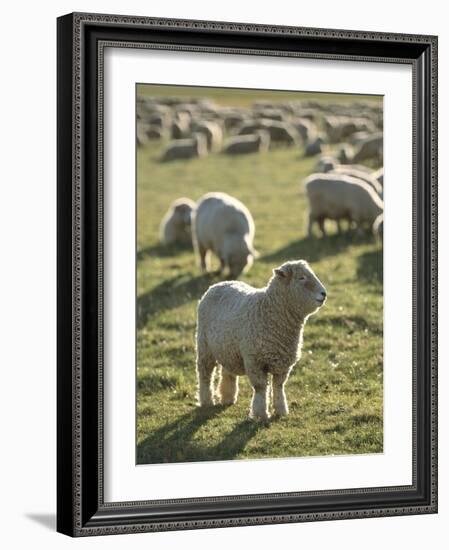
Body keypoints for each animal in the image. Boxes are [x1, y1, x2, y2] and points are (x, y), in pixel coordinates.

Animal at [196, 260, 326, 420]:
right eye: (301, 278)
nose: (324, 294)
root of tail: (218, 284)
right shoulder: (255, 361)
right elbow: (260, 387)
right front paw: (260, 414)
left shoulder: (283, 363)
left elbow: (278, 387)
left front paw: (281, 411)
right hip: (204, 346)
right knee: (205, 374)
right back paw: (207, 401)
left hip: (228, 348)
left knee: (227, 372)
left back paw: (228, 398)